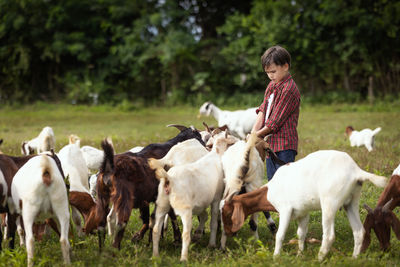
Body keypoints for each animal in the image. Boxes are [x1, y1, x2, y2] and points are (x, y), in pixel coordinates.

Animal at [222, 151, 388, 262]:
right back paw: (354, 258)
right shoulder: (303, 212)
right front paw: (299, 254)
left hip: (329, 203)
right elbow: (301, 233)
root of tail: (355, 171)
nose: (229, 233)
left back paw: (319, 259)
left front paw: (276, 256)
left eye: (227, 212)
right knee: (359, 231)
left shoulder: (285, 210)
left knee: (329, 235)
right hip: (351, 203)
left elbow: (280, 235)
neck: (270, 190)